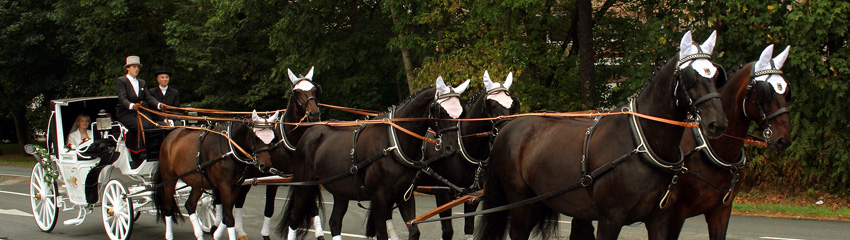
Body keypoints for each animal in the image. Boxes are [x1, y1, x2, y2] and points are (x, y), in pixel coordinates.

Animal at [280, 77, 470, 240]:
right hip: (304, 186)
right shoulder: (379, 197)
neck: (393, 142)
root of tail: (309, 132)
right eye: (439, 110)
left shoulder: (404, 195)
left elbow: (414, 231)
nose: (451, 148)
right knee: (294, 220)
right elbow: (382, 234)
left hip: (340, 191)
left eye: (461, 112)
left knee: (335, 222)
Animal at [416, 71, 516, 240]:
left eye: (512, 103)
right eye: (492, 104)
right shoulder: (442, 193)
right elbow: (447, 232)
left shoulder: (471, 197)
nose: (507, 130)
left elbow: (469, 229)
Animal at [474, 30, 724, 240]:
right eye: (690, 76)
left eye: (715, 76)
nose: (717, 123)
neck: (642, 143)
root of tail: (507, 127)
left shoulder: (659, 219)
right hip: (520, 202)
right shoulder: (611, 218)